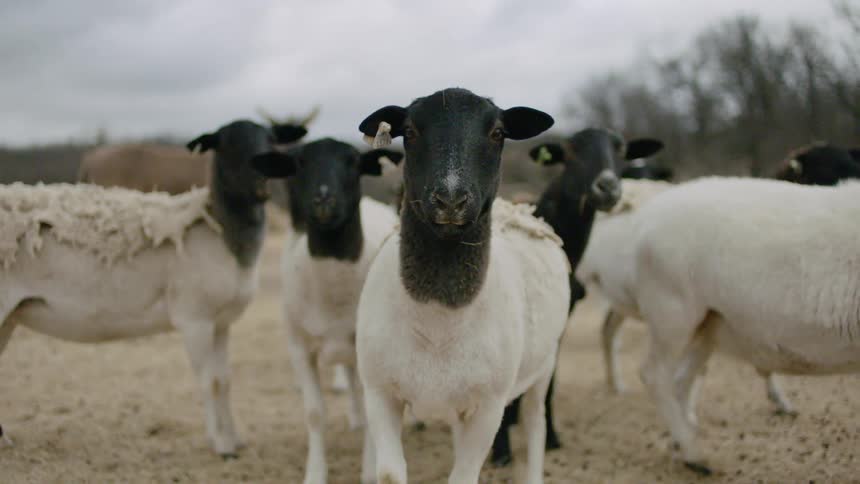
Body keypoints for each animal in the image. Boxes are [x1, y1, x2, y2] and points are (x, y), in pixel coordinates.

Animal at [0, 119, 299, 457]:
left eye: (271, 142)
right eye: (227, 145)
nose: (263, 186)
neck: (220, 231)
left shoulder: (220, 322)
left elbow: (224, 381)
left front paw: (235, 439)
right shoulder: (194, 318)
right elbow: (208, 381)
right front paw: (222, 447)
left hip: (10, 315)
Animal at [250, 138, 403, 484]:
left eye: (353, 162)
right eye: (300, 163)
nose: (323, 198)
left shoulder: (366, 353)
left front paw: (368, 472)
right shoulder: (299, 348)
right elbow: (314, 414)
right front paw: (315, 473)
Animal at [355, 88, 568, 484]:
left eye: (498, 133)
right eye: (409, 131)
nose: (450, 200)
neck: (438, 314)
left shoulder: (488, 408)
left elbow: (465, 475)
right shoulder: (380, 393)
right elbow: (390, 473)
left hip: (542, 367)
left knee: (535, 424)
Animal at [490, 129, 665, 466]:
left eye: (621, 150)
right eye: (571, 152)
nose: (607, 187)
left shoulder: (561, 316)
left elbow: (552, 380)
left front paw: (551, 437)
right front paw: (501, 450)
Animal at [614, 176, 860, 475]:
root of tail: (649, 214)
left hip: (709, 324)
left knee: (680, 380)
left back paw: (681, 447)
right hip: (672, 309)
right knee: (654, 375)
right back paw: (694, 454)